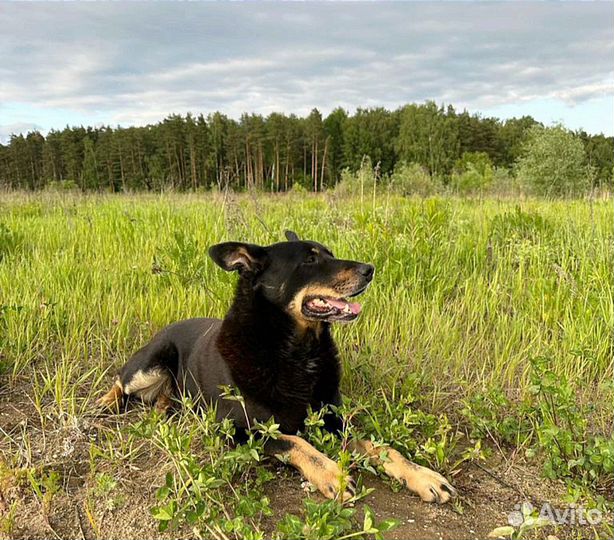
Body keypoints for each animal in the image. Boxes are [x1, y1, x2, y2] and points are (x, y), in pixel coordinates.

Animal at [98, 230, 458, 504]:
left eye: (330, 253)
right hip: (149, 363)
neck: (297, 350)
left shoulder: (333, 420)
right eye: (310, 260)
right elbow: (295, 442)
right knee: (120, 379)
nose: (370, 269)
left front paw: (422, 476)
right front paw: (333, 473)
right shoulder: (239, 430)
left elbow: (381, 447)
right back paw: (107, 403)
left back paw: (164, 408)